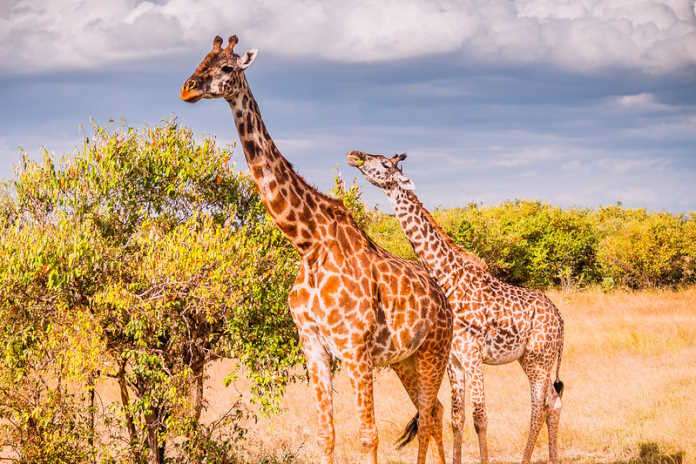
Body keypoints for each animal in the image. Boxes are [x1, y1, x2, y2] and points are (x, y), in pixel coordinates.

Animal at [180, 35, 453, 464]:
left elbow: (368, 436)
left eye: (226, 67)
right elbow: (327, 433)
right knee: (434, 411)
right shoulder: (313, 347)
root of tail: (444, 298)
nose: (188, 88)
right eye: (201, 58)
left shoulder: (356, 350)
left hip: (434, 352)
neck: (308, 243)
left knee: (429, 414)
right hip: (404, 359)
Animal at [347, 151, 565, 464]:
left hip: (539, 358)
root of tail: (561, 319)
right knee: (553, 401)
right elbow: (457, 419)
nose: (356, 156)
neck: (449, 279)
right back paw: (553, 458)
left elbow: (480, 417)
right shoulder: (454, 360)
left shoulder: (473, 355)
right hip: (531, 359)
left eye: (386, 164)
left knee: (539, 405)